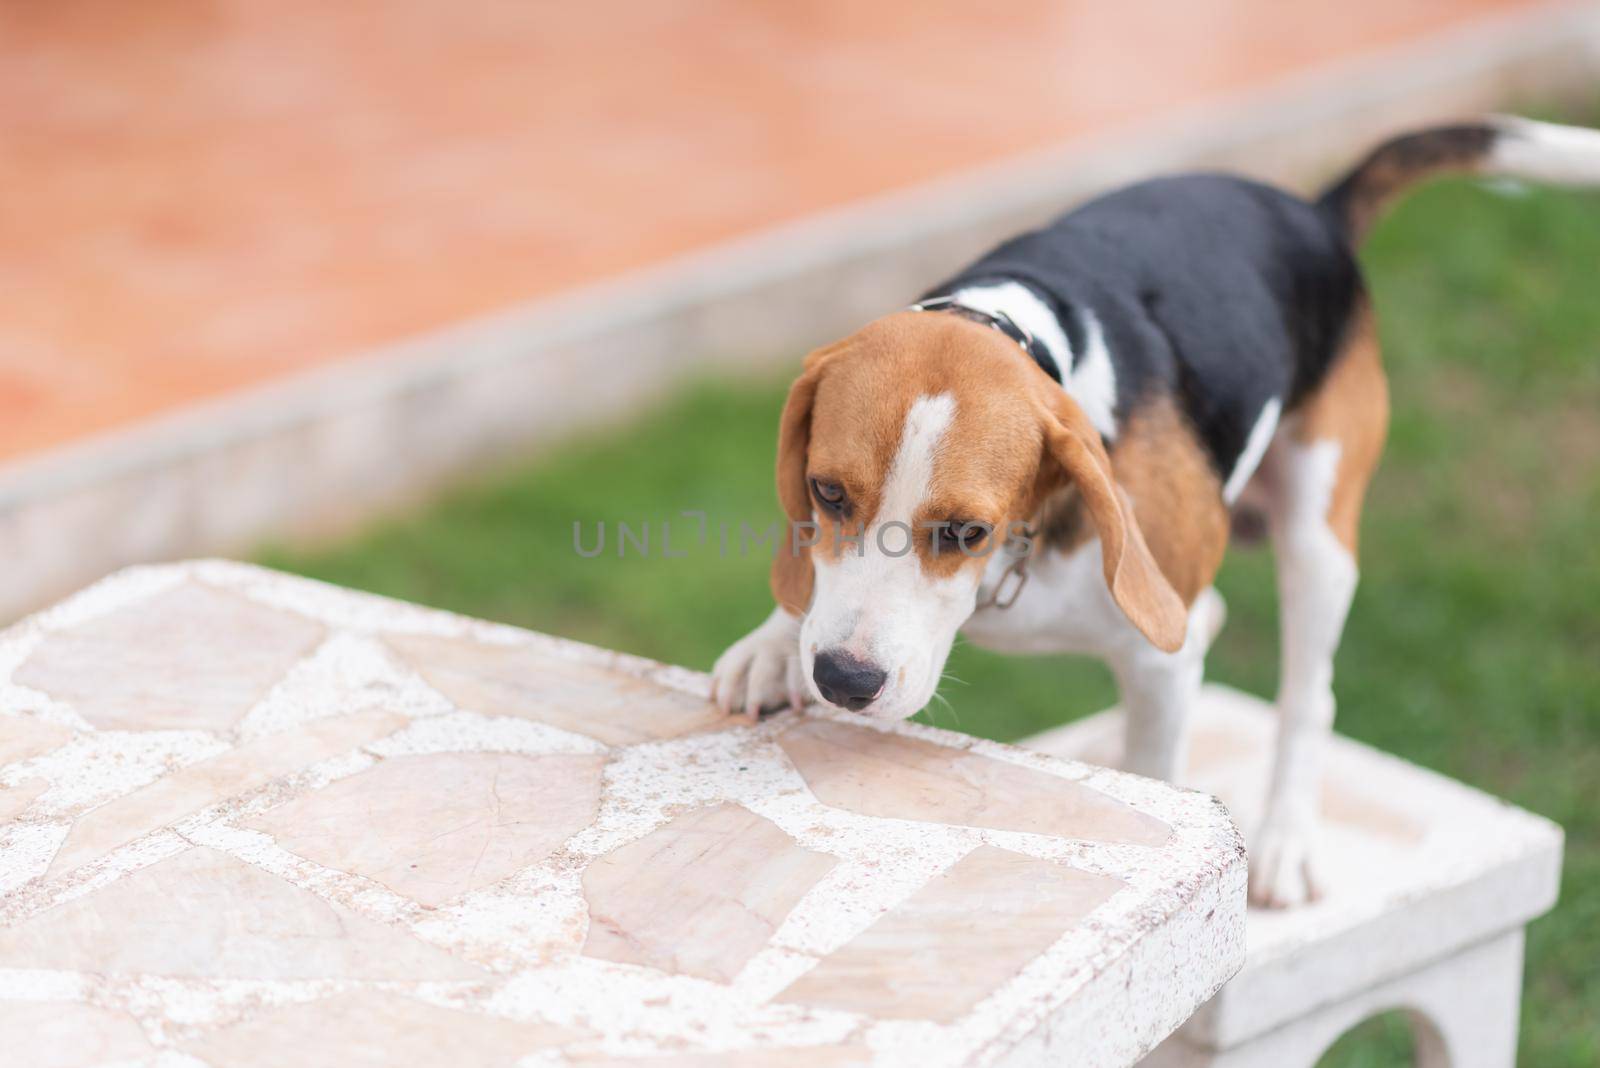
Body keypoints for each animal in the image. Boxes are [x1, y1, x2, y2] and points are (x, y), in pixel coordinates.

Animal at [713, 116, 1600, 908]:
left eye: (966, 533)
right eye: (827, 493)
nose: (843, 680)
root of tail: (1311, 212)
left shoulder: (1160, 651)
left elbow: (1169, 746)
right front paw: (774, 643)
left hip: (1317, 535)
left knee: (1307, 695)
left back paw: (1284, 837)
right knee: (1209, 619)